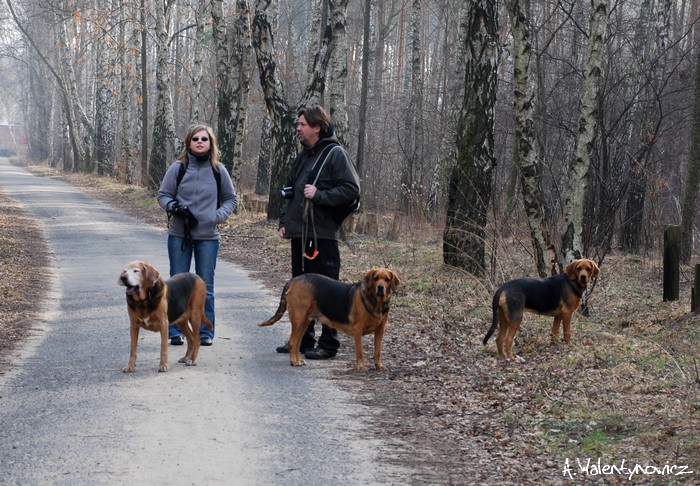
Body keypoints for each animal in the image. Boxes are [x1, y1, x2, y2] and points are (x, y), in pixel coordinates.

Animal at [258, 268, 400, 370]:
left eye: (387, 279)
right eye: (376, 278)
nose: (380, 288)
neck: (376, 302)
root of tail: (294, 279)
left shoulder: (380, 330)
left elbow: (378, 351)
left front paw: (378, 366)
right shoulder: (357, 331)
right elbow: (360, 352)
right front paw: (361, 367)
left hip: (305, 321)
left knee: (297, 343)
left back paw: (298, 360)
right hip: (298, 319)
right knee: (292, 342)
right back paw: (294, 362)